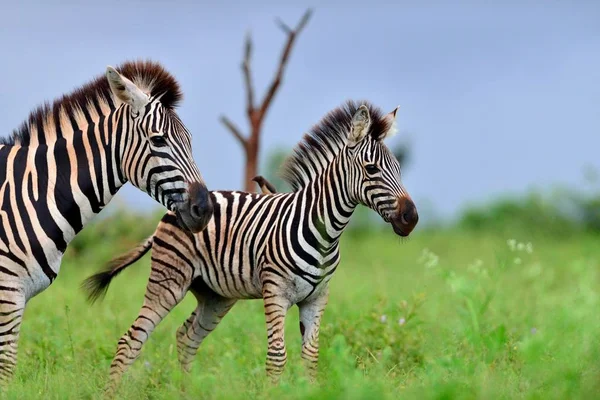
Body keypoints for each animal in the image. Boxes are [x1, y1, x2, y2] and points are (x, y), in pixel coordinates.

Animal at [0, 60, 214, 384]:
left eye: (189, 142)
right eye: (159, 140)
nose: (205, 209)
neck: (29, 193)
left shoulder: (18, 295)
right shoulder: (8, 292)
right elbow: (6, 368)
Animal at [84, 100, 420, 390]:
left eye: (399, 168)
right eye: (372, 169)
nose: (412, 217)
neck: (324, 231)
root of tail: (172, 209)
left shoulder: (317, 298)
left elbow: (310, 357)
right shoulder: (276, 294)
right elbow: (277, 357)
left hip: (216, 296)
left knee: (186, 336)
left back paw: (185, 391)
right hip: (169, 282)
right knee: (131, 339)